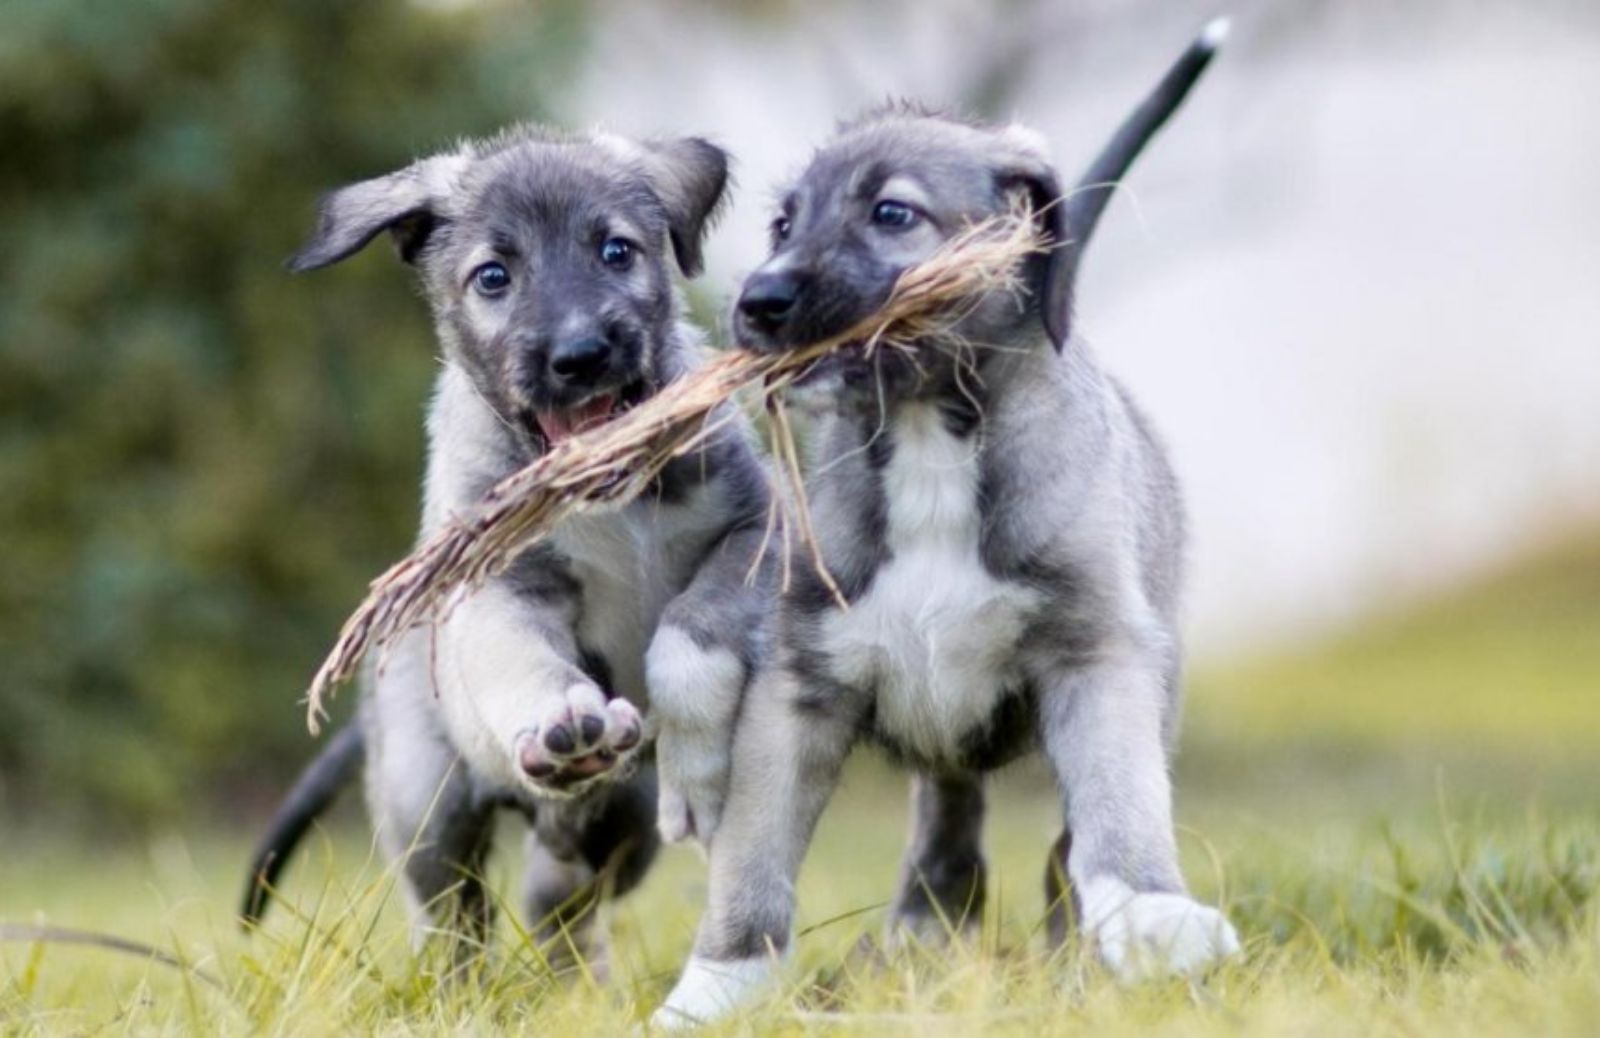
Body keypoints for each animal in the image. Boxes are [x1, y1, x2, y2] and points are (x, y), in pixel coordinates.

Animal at [656, 20, 1241, 1023]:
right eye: (783, 224)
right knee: (949, 829)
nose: (755, 305)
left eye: (893, 213)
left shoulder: (1096, 656)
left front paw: (1150, 916)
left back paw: (1068, 951)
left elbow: (1115, 808)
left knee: (1054, 848)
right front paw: (711, 993)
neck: (929, 431)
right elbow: (752, 863)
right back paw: (922, 943)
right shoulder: (797, 685)